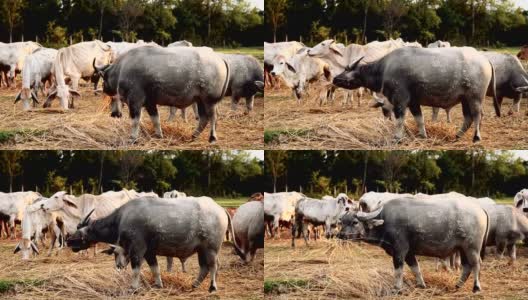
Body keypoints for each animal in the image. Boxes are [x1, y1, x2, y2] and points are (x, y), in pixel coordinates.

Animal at [64, 196, 243, 292]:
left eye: (80, 231)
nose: (69, 240)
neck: (122, 217)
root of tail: (220, 209)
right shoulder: (149, 252)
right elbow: (155, 269)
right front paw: (158, 284)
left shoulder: (137, 249)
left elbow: (136, 269)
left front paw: (133, 287)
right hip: (201, 249)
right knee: (204, 267)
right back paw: (194, 284)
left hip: (211, 248)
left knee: (213, 266)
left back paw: (212, 287)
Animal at [94, 45, 229, 143]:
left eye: (104, 80)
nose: (114, 114)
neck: (122, 68)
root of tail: (220, 59)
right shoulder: (150, 103)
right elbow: (155, 119)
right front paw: (159, 135)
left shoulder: (135, 102)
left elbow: (135, 120)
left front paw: (133, 138)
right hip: (200, 100)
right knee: (204, 118)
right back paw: (194, 135)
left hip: (209, 101)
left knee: (213, 117)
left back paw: (212, 137)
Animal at [334, 47, 496, 143]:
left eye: (347, 69)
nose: (335, 79)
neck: (384, 69)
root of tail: (485, 60)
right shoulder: (413, 102)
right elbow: (419, 119)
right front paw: (423, 135)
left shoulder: (400, 100)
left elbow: (400, 120)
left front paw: (397, 138)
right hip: (464, 99)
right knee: (468, 117)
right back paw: (457, 136)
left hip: (475, 97)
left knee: (477, 115)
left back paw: (476, 137)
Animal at [340, 197, 488, 292]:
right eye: (342, 222)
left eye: (355, 222)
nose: (340, 235)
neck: (384, 221)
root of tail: (481, 210)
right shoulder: (409, 253)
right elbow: (415, 268)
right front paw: (421, 285)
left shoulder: (399, 250)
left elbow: (398, 270)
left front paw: (397, 288)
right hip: (462, 249)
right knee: (467, 266)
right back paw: (458, 285)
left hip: (472, 248)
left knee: (476, 264)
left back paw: (476, 287)